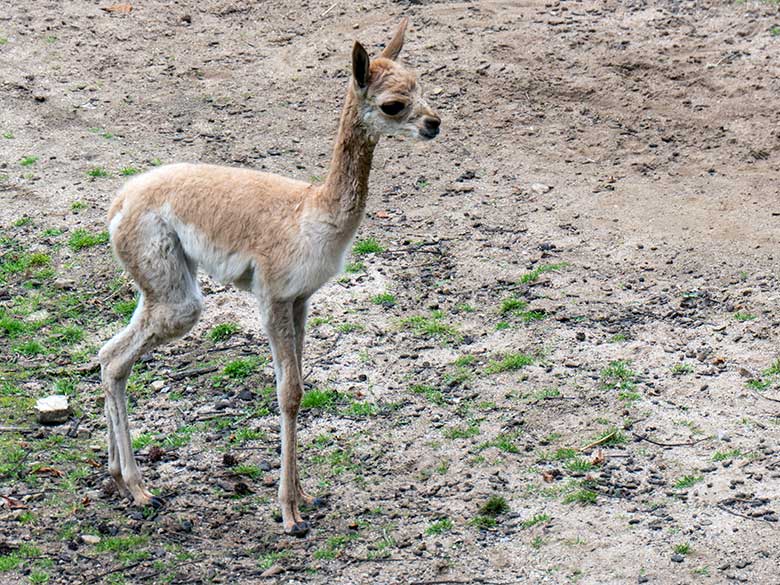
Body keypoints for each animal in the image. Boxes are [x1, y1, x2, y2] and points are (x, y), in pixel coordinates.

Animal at [97, 18, 438, 532]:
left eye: (419, 83)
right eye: (393, 104)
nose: (434, 123)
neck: (313, 213)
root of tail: (120, 201)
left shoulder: (301, 300)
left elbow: (298, 384)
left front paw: (305, 495)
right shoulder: (273, 295)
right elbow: (289, 394)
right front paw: (289, 514)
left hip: (159, 285)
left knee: (108, 354)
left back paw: (121, 479)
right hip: (175, 296)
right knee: (118, 358)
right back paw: (140, 488)